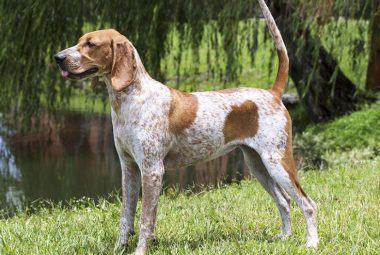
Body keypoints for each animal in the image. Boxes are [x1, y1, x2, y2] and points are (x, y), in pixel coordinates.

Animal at [54, 0, 318, 253]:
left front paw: (140, 250)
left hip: (278, 162)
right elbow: (126, 217)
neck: (130, 100)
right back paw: (285, 237)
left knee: (308, 204)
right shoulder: (128, 168)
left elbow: (146, 220)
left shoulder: (152, 170)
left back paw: (312, 243)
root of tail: (273, 93)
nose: (58, 57)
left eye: (90, 44)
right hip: (258, 165)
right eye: (79, 42)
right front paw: (119, 248)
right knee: (284, 201)